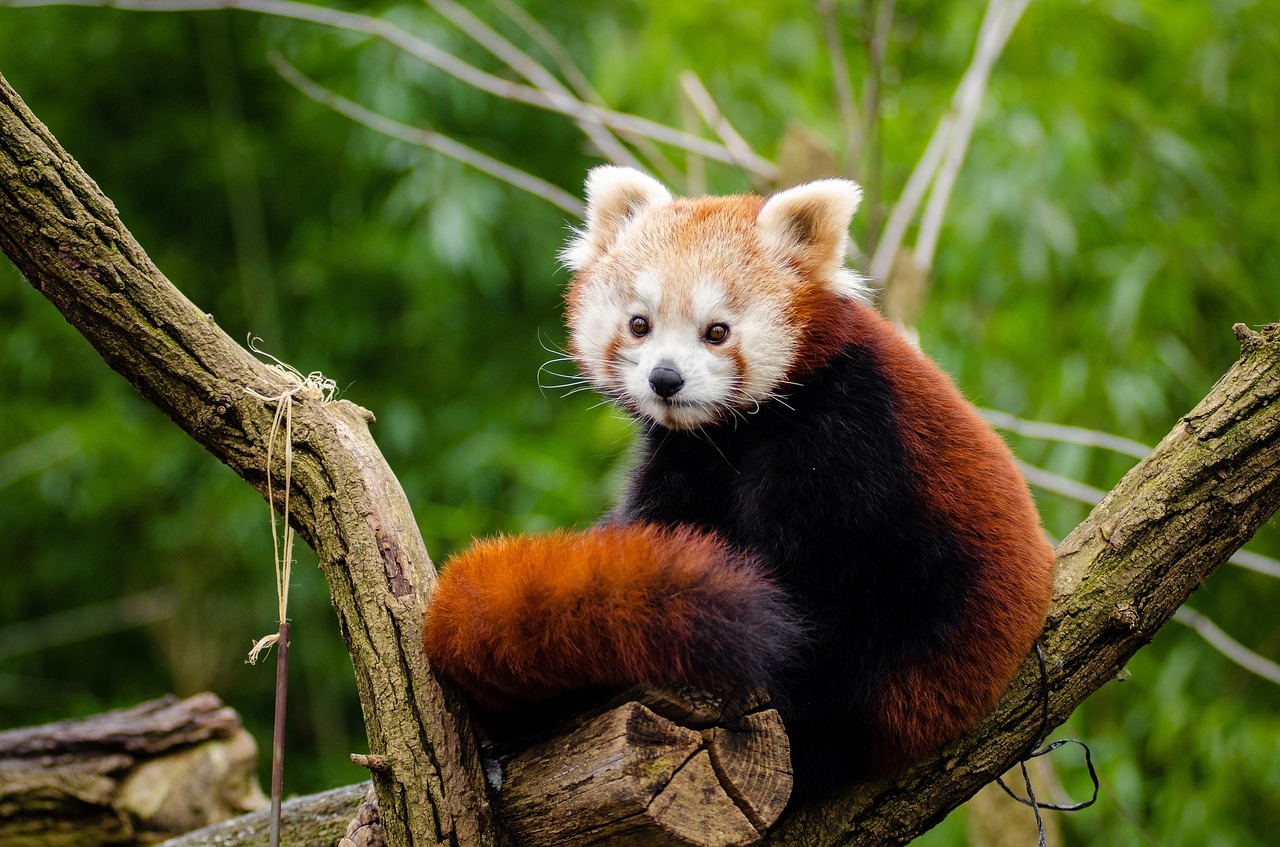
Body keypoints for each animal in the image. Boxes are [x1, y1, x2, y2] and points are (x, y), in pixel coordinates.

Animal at [424, 166, 1054, 803]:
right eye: (639, 325)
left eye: (717, 332)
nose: (665, 379)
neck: (737, 432)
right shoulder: (683, 455)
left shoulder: (850, 437)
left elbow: (804, 581)